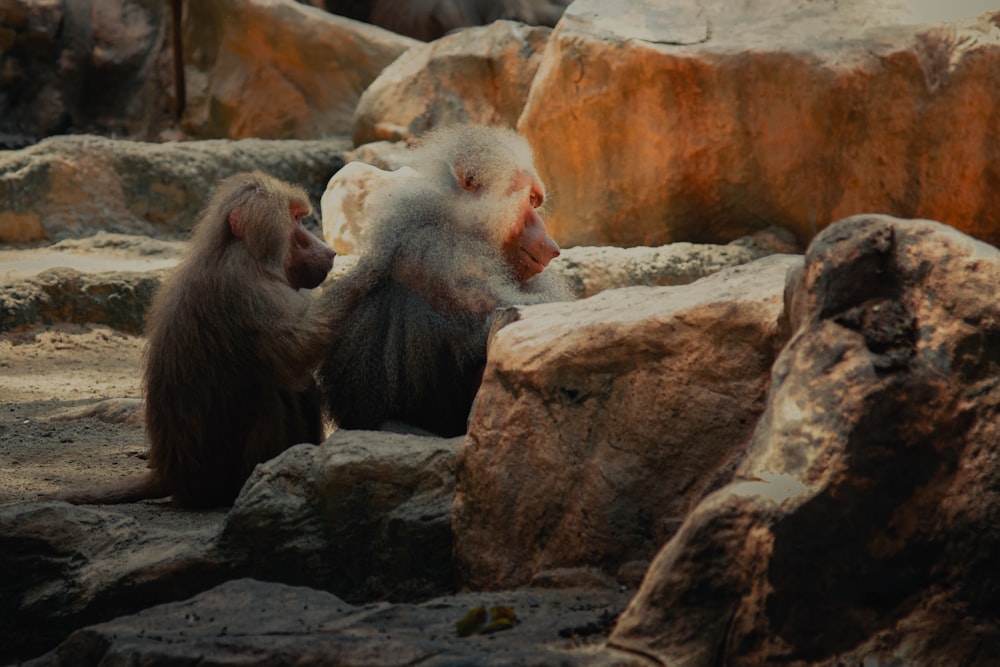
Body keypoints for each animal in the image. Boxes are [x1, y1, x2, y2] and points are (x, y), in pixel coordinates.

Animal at [61, 174, 336, 512]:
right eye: (296, 218)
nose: (329, 251)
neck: (245, 251)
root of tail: (170, 474)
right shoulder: (248, 289)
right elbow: (297, 351)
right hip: (214, 476)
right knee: (277, 391)